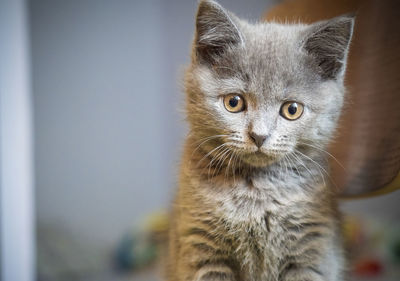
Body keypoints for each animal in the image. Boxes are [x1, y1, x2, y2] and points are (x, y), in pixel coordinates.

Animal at [167, 1, 354, 278]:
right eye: (234, 102)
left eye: (292, 109)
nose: (259, 135)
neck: (256, 191)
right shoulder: (201, 246)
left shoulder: (311, 248)